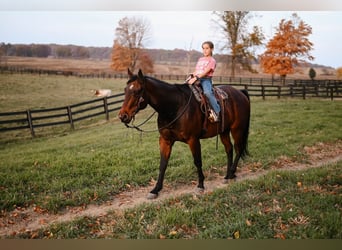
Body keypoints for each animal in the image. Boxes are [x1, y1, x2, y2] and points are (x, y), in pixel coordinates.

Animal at [119, 69, 250, 199]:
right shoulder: (165, 140)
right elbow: (163, 164)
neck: (174, 107)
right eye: (125, 90)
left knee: (238, 149)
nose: (122, 116)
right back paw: (228, 176)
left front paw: (200, 185)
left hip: (237, 129)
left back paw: (232, 173)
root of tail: (240, 92)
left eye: (137, 91)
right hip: (224, 131)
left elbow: (197, 161)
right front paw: (155, 190)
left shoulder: (193, 140)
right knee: (229, 149)